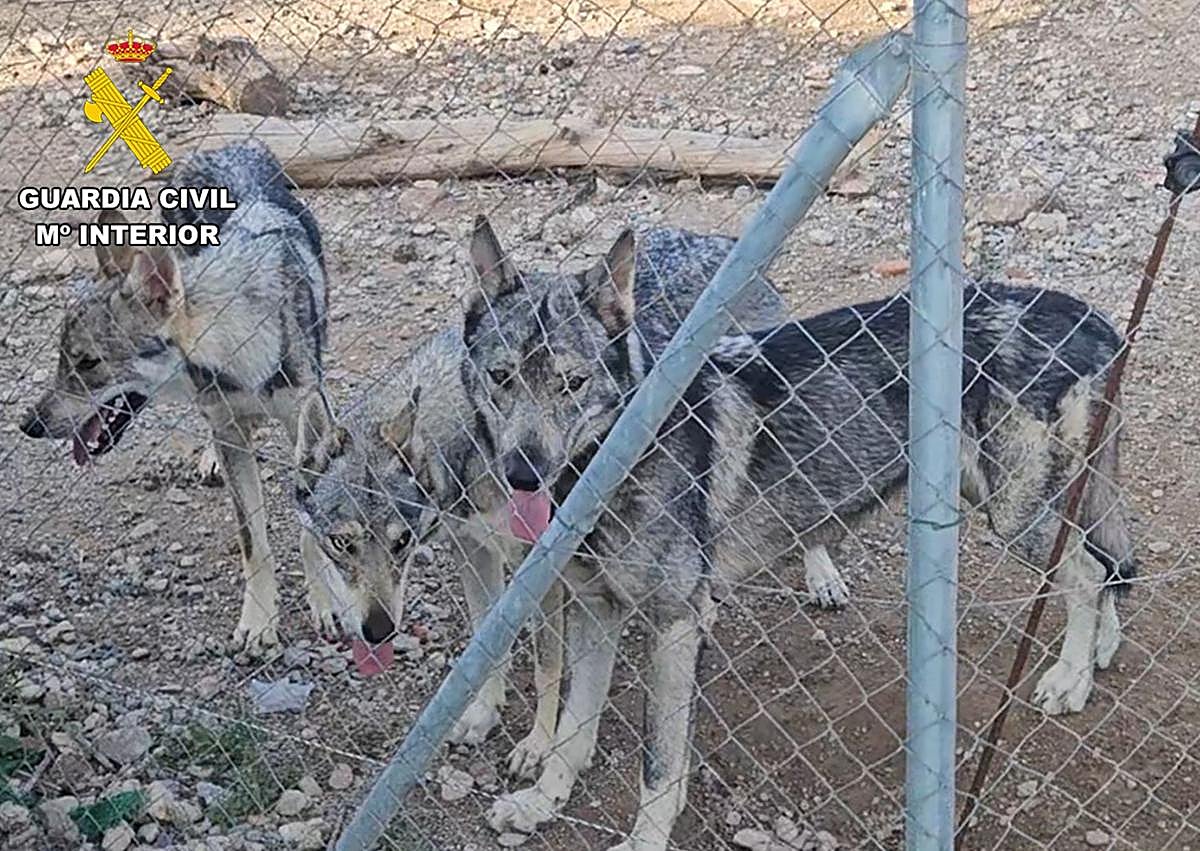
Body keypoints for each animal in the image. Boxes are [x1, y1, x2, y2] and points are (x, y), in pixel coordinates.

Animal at [18, 141, 338, 655]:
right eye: (62, 359)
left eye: (87, 363)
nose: (28, 425)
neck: (240, 354)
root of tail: (227, 145)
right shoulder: (226, 426)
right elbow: (254, 543)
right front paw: (259, 622)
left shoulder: (305, 424)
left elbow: (310, 527)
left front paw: (326, 603)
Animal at [292, 220, 803, 773]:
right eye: (341, 544)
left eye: (400, 542)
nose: (378, 631)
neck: (472, 445)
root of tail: (712, 237)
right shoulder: (472, 550)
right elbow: (486, 641)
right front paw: (482, 713)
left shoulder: (542, 575)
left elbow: (548, 666)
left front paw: (538, 745)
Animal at [462, 227, 1135, 850]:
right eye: (501, 377)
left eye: (572, 384)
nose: (522, 474)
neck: (613, 455)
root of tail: (1087, 314)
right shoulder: (596, 609)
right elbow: (573, 728)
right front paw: (540, 803)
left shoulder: (676, 621)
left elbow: (659, 762)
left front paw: (644, 840)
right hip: (1015, 500)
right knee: (1105, 562)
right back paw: (1098, 653)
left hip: (1014, 514)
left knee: (1088, 573)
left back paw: (1070, 679)